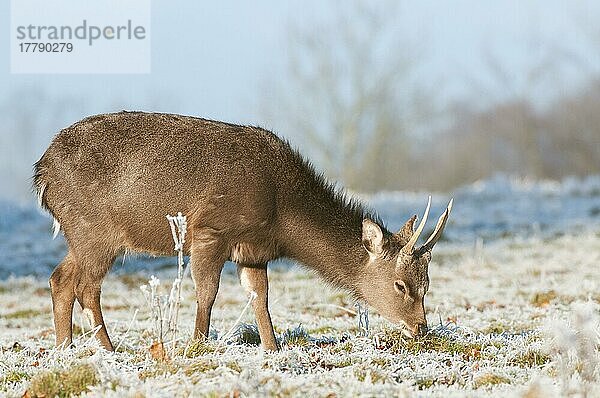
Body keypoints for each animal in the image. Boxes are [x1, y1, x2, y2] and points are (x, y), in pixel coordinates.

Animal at [34, 112, 450, 352]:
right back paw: (108, 349)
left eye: (427, 282)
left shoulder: (253, 251)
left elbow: (259, 298)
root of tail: (42, 172)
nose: (421, 328)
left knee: (60, 278)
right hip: (94, 228)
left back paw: (65, 349)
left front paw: (273, 348)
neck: (281, 214)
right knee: (86, 285)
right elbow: (207, 293)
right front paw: (198, 346)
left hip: (80, 232)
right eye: (400, 285)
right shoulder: (210, 230)